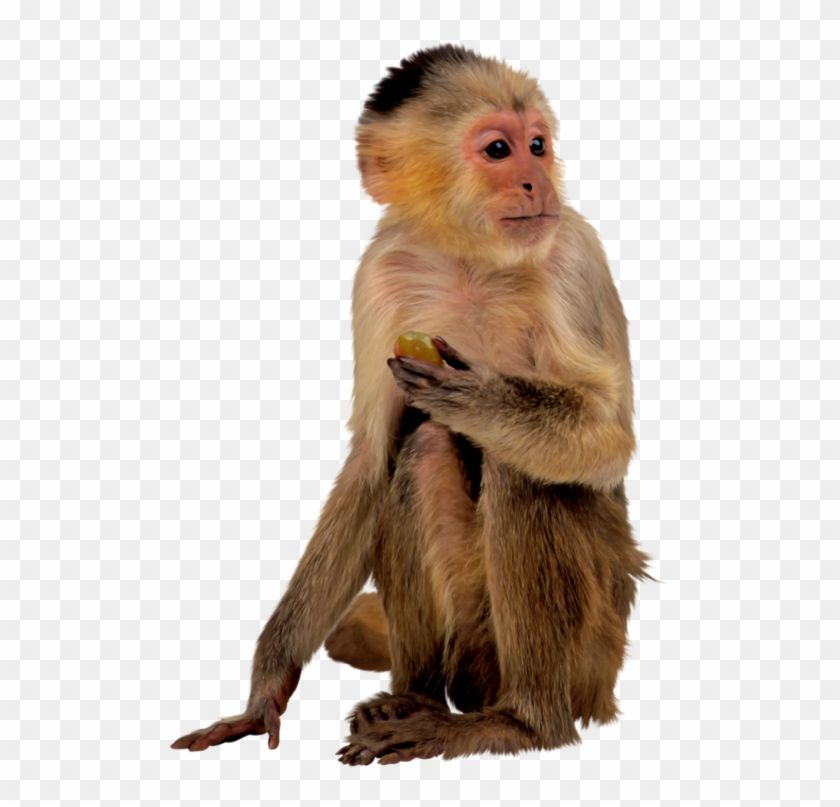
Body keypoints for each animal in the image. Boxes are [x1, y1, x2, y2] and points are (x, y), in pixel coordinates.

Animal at [171, 45, 649, 764]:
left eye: (538, 145)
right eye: (501, 149)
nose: (537, 181)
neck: (469, 256)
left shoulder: (575, 254)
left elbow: (608, 440)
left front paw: (483, 400)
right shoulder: (381, 271)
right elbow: (370, 460)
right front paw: (268, 682)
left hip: (597, 651)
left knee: (522, 473)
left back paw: (525, 722)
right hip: (471, 647)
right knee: (419, 452)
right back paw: (414, 697)